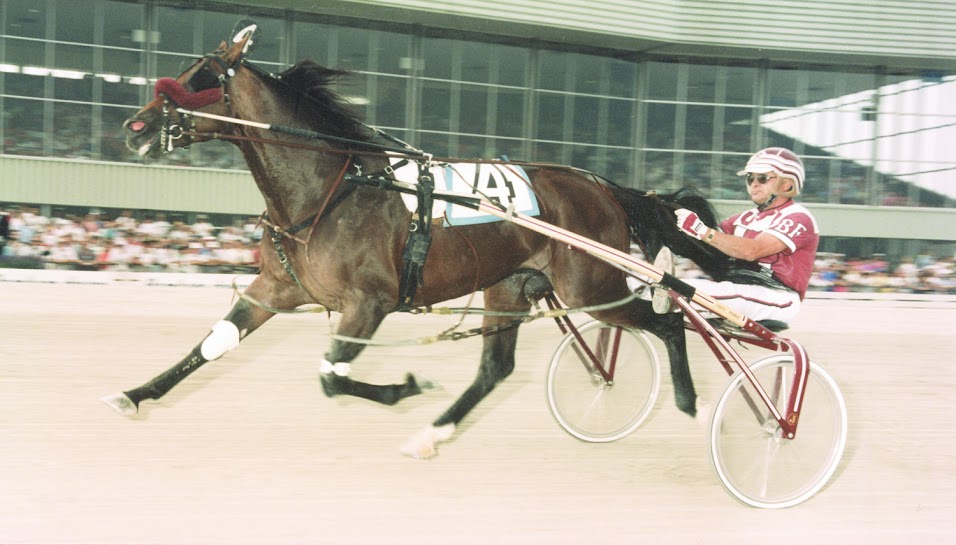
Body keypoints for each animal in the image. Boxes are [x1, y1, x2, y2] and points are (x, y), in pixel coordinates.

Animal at [106, 22, 732, 454]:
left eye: (201, 79)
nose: (134, 127)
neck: (330, 189)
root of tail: (606, 188)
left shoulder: (370, 301)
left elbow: (332, 376)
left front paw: (406, 385)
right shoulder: (277, 288)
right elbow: (214, 345)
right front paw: (134, 394)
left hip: (591, 287)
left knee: (668, 323)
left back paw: (696, 406)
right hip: (511, 285)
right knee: (496, 369)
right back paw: (432, 434)